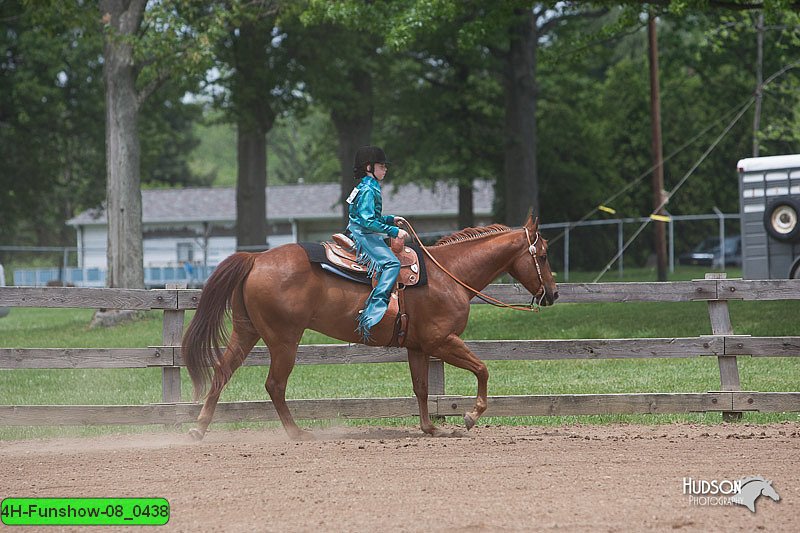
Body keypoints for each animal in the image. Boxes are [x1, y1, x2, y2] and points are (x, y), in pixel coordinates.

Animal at [181, 213, 556, 440]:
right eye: (543, 254)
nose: (552, 294)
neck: (449, 275)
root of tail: (256, 259)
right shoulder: (441, 341)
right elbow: (482, 369)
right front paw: (470, 416)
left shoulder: (418, 347)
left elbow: (421, 388)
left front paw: (429, 427)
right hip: (284, 340)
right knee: (274, 384)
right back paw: (297, 432)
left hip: (247, 331)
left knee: (222, 371)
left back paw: (199, 429)